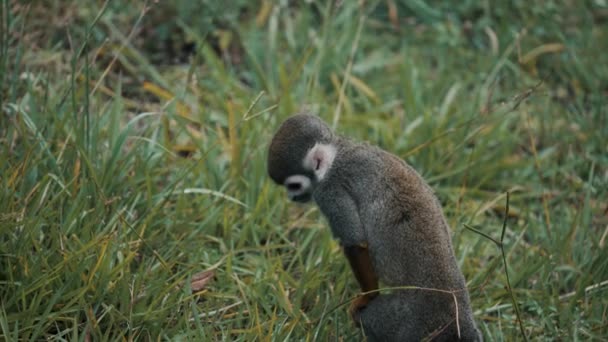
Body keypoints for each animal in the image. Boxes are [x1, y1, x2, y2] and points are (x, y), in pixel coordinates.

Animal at [268, 113, 482, 340]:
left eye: (294, 185)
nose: (292, 197)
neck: (338, 153)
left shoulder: (330, 192)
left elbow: (356, 243)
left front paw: (366, 297)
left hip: (410, 321)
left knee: (372, 320)